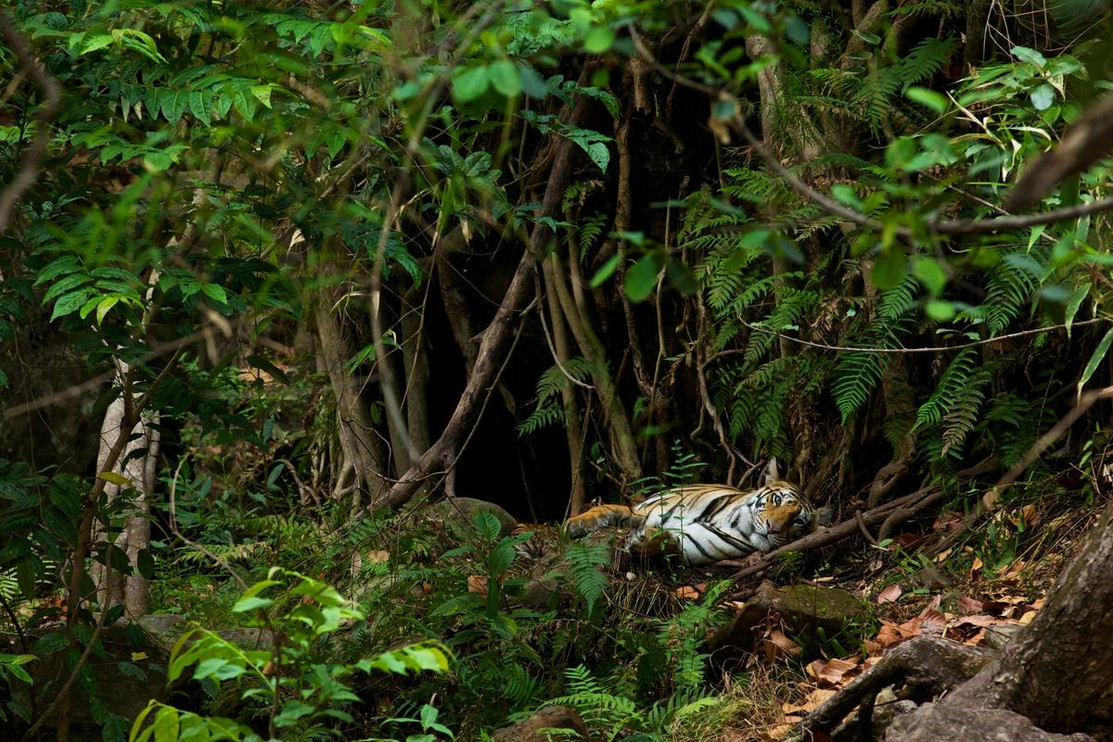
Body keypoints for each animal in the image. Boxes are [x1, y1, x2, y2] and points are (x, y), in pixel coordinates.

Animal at [563, 459, 833, 566]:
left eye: (798, 522)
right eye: (777, 500)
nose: (772, 528)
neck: (736, 523)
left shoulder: (694, 546)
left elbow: (672, 545)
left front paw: (645, 541)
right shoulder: (649, 512)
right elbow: (614, 509)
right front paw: (577, 523)